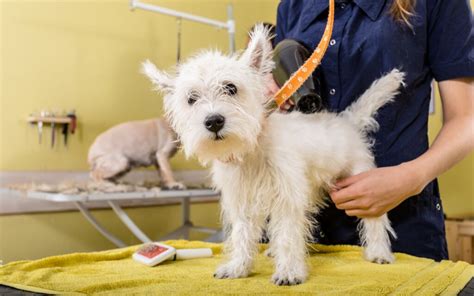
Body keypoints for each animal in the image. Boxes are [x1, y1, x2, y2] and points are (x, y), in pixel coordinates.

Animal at [143, 24, 404, 284]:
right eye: (191, 99)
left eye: (230, 88)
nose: (214, 121)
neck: (250, 151)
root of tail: (347, 122)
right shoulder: (243, 202)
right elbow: (242, 235)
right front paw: (238, 267)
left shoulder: (286, 197)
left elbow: (288, 235)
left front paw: (289, 272)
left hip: (360, 177)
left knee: (375, 220)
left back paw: (379, 253)